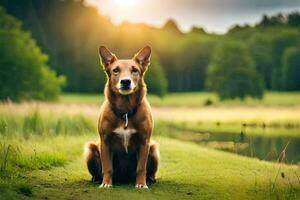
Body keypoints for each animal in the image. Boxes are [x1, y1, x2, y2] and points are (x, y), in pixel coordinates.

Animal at [83, 46, 161, 188]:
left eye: (135, 70)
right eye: (115, 70)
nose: (125, 81)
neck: (125, 111)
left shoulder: (144, 142)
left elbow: (141, 168)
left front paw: (141, 184)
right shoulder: (105, 142)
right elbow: (107, 168)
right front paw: (106, 184)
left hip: (153, 148)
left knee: (148, 170)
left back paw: (150, 179)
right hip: (90, 148)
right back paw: (97, 179)